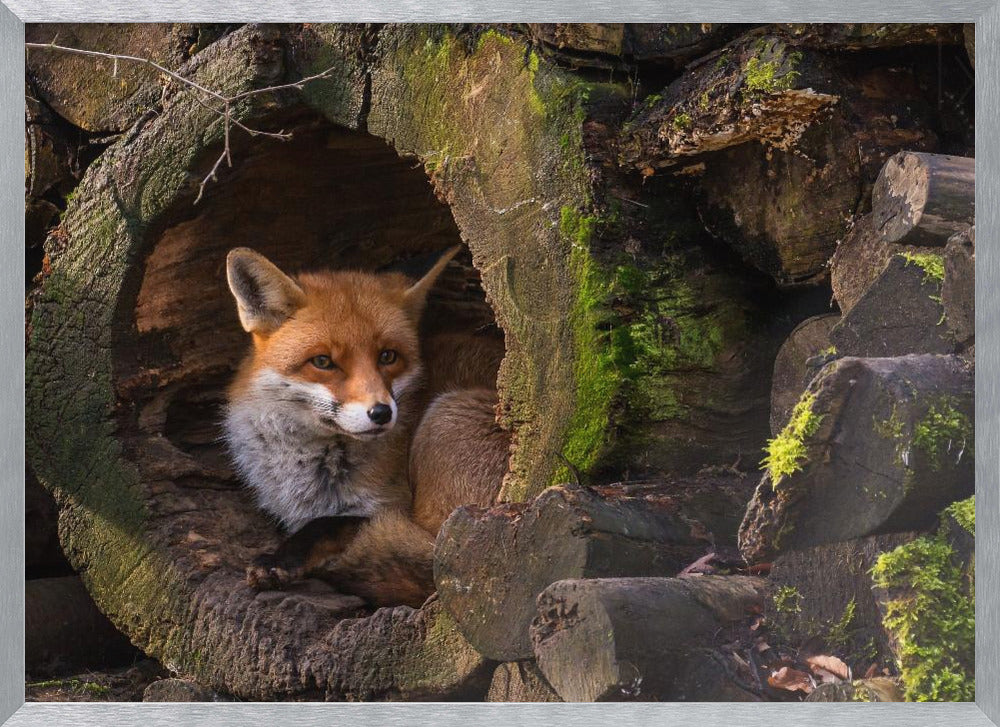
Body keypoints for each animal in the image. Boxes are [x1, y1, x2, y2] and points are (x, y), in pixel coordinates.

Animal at [222, 245, 510, 607]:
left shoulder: (389, 505)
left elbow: (328, 524)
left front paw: (280, 558)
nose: (381, 413)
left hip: (446, 428)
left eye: (388, 356)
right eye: (323, 361)